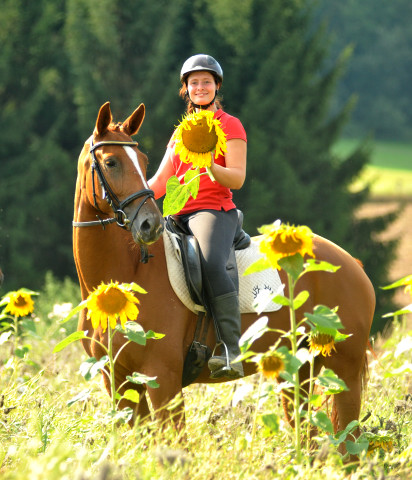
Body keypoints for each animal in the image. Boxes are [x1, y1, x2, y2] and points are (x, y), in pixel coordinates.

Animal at [72, 103, 374, 436]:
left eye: (143, 161)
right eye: (111, 162)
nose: (150, 224)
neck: (127, 276)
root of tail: (351, 262)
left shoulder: (162, 378)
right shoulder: (119, 381)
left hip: (345, 369)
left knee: (349, 438)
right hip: (298, 370)